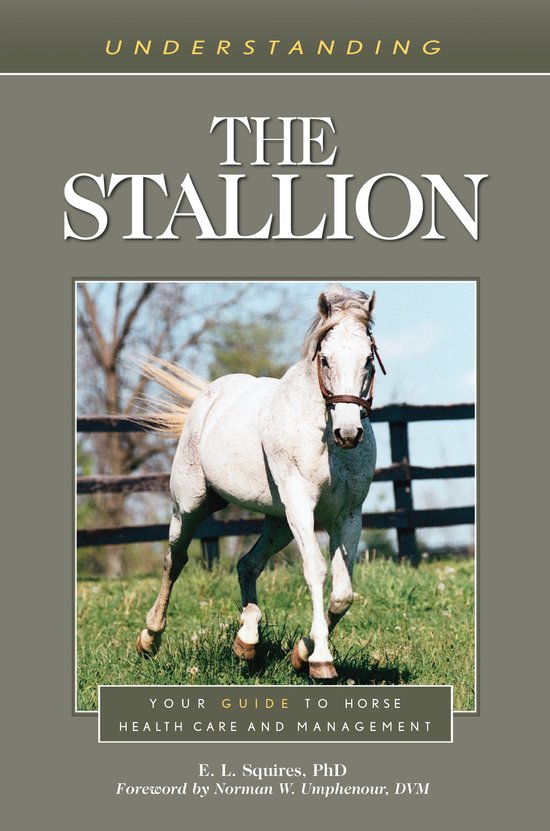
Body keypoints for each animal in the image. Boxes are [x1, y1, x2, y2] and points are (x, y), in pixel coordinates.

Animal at [136, 284, 385, 680]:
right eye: (326, 360)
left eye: (368, 360)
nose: (349, 433)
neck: (325, 440)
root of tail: (209, 395)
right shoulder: (301, 507)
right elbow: (315, 571)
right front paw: (321, 660)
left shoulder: (348, 515)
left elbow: (343, 592)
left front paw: (302, 653)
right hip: (190, 507)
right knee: (174, 560)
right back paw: (149, 638)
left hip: (279, 523)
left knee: (247, 565)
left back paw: (248, 641)